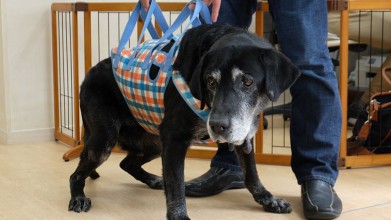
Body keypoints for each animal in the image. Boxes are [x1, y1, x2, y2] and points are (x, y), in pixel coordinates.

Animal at [68, 23, 300, 219]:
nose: (217, 126)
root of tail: (87, 76)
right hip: (104, 142)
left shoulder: (243, 137)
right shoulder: (174, 140)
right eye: (210, 81)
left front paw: (268, 200)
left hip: (154, 143)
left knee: (126, 163)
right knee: (76, 174)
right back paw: (78, 196)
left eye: (247, 81)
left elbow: (251, 174)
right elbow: (176, 188)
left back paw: (153, 180)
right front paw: (179, 215)